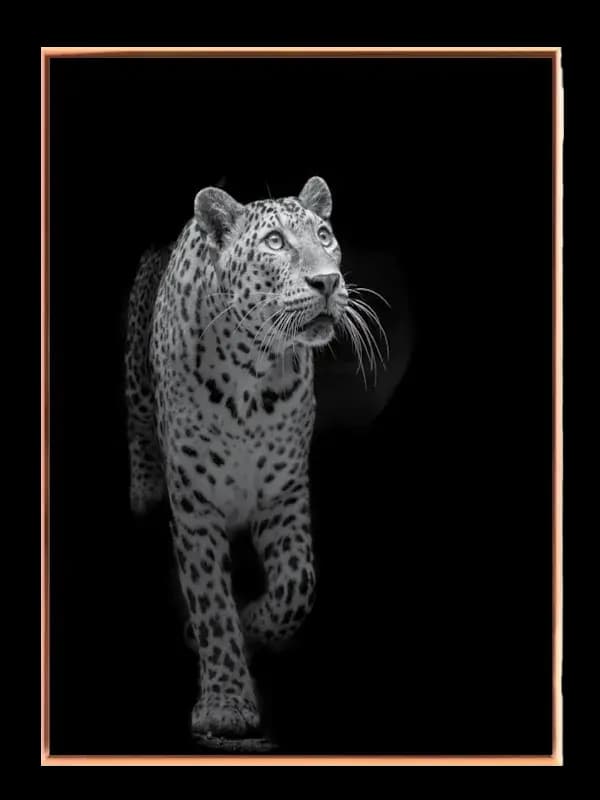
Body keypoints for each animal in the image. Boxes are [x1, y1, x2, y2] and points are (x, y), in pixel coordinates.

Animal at [125, 176, 381, 746]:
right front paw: (225, 702)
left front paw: (255, 629)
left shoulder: (284, 494)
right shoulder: (195, 507)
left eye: (324, 235)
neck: (251, 370)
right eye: (275, 242)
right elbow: (212, 606)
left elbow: (296, 585)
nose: (327, 281)